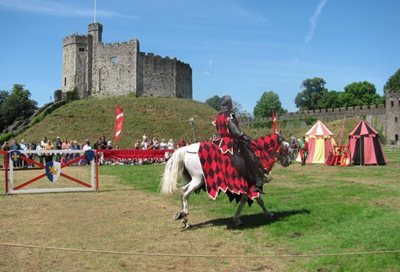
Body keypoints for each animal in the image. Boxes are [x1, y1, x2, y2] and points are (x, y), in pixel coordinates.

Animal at [161, 135, 292, 228]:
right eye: (287, 147)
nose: (289, 161)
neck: (256, 154)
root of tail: (184, 150)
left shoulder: (248, 185)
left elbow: (257, 200)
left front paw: (266, 214)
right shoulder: (249, 184)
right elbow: (251, 199)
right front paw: (239, 219)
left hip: (190, 179)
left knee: (183, 193)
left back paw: (184, 219)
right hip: (198, 179)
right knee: (185, 192)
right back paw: (184, 215)